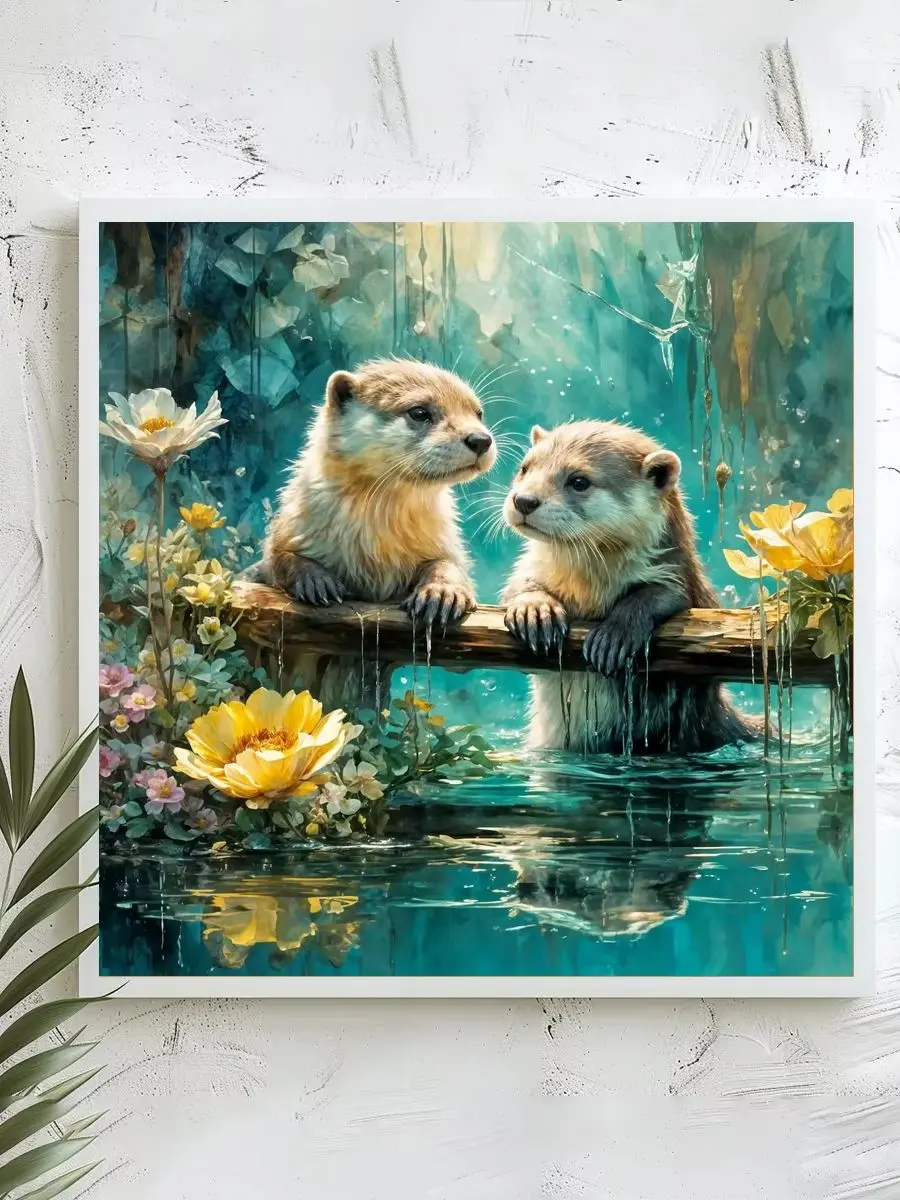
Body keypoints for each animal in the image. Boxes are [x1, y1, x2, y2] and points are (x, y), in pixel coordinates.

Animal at [501, 420, 755, 753]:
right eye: (524, 468)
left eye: (579, 481)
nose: (524, 500)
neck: (590, 589)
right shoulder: (531, 567)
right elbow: (516, 586)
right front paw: (534, 610)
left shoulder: (679, 574)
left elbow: (665, 595)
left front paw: (615, 635)